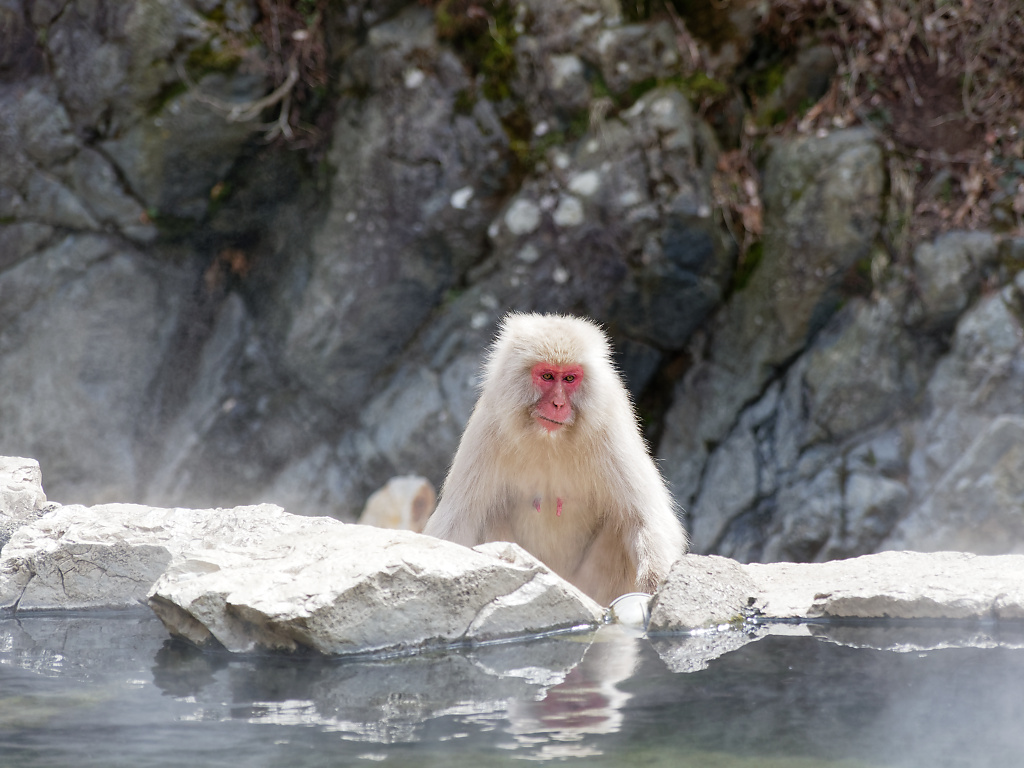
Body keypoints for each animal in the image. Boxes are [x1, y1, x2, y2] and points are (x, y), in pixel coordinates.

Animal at [419, 313, 692, 606]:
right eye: (548, 376)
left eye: (570, 378)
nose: (558, 404)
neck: (550, 440)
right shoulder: (487, 429)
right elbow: (458, 520)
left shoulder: (610, 428)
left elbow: (643, 518)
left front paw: (656, 587)